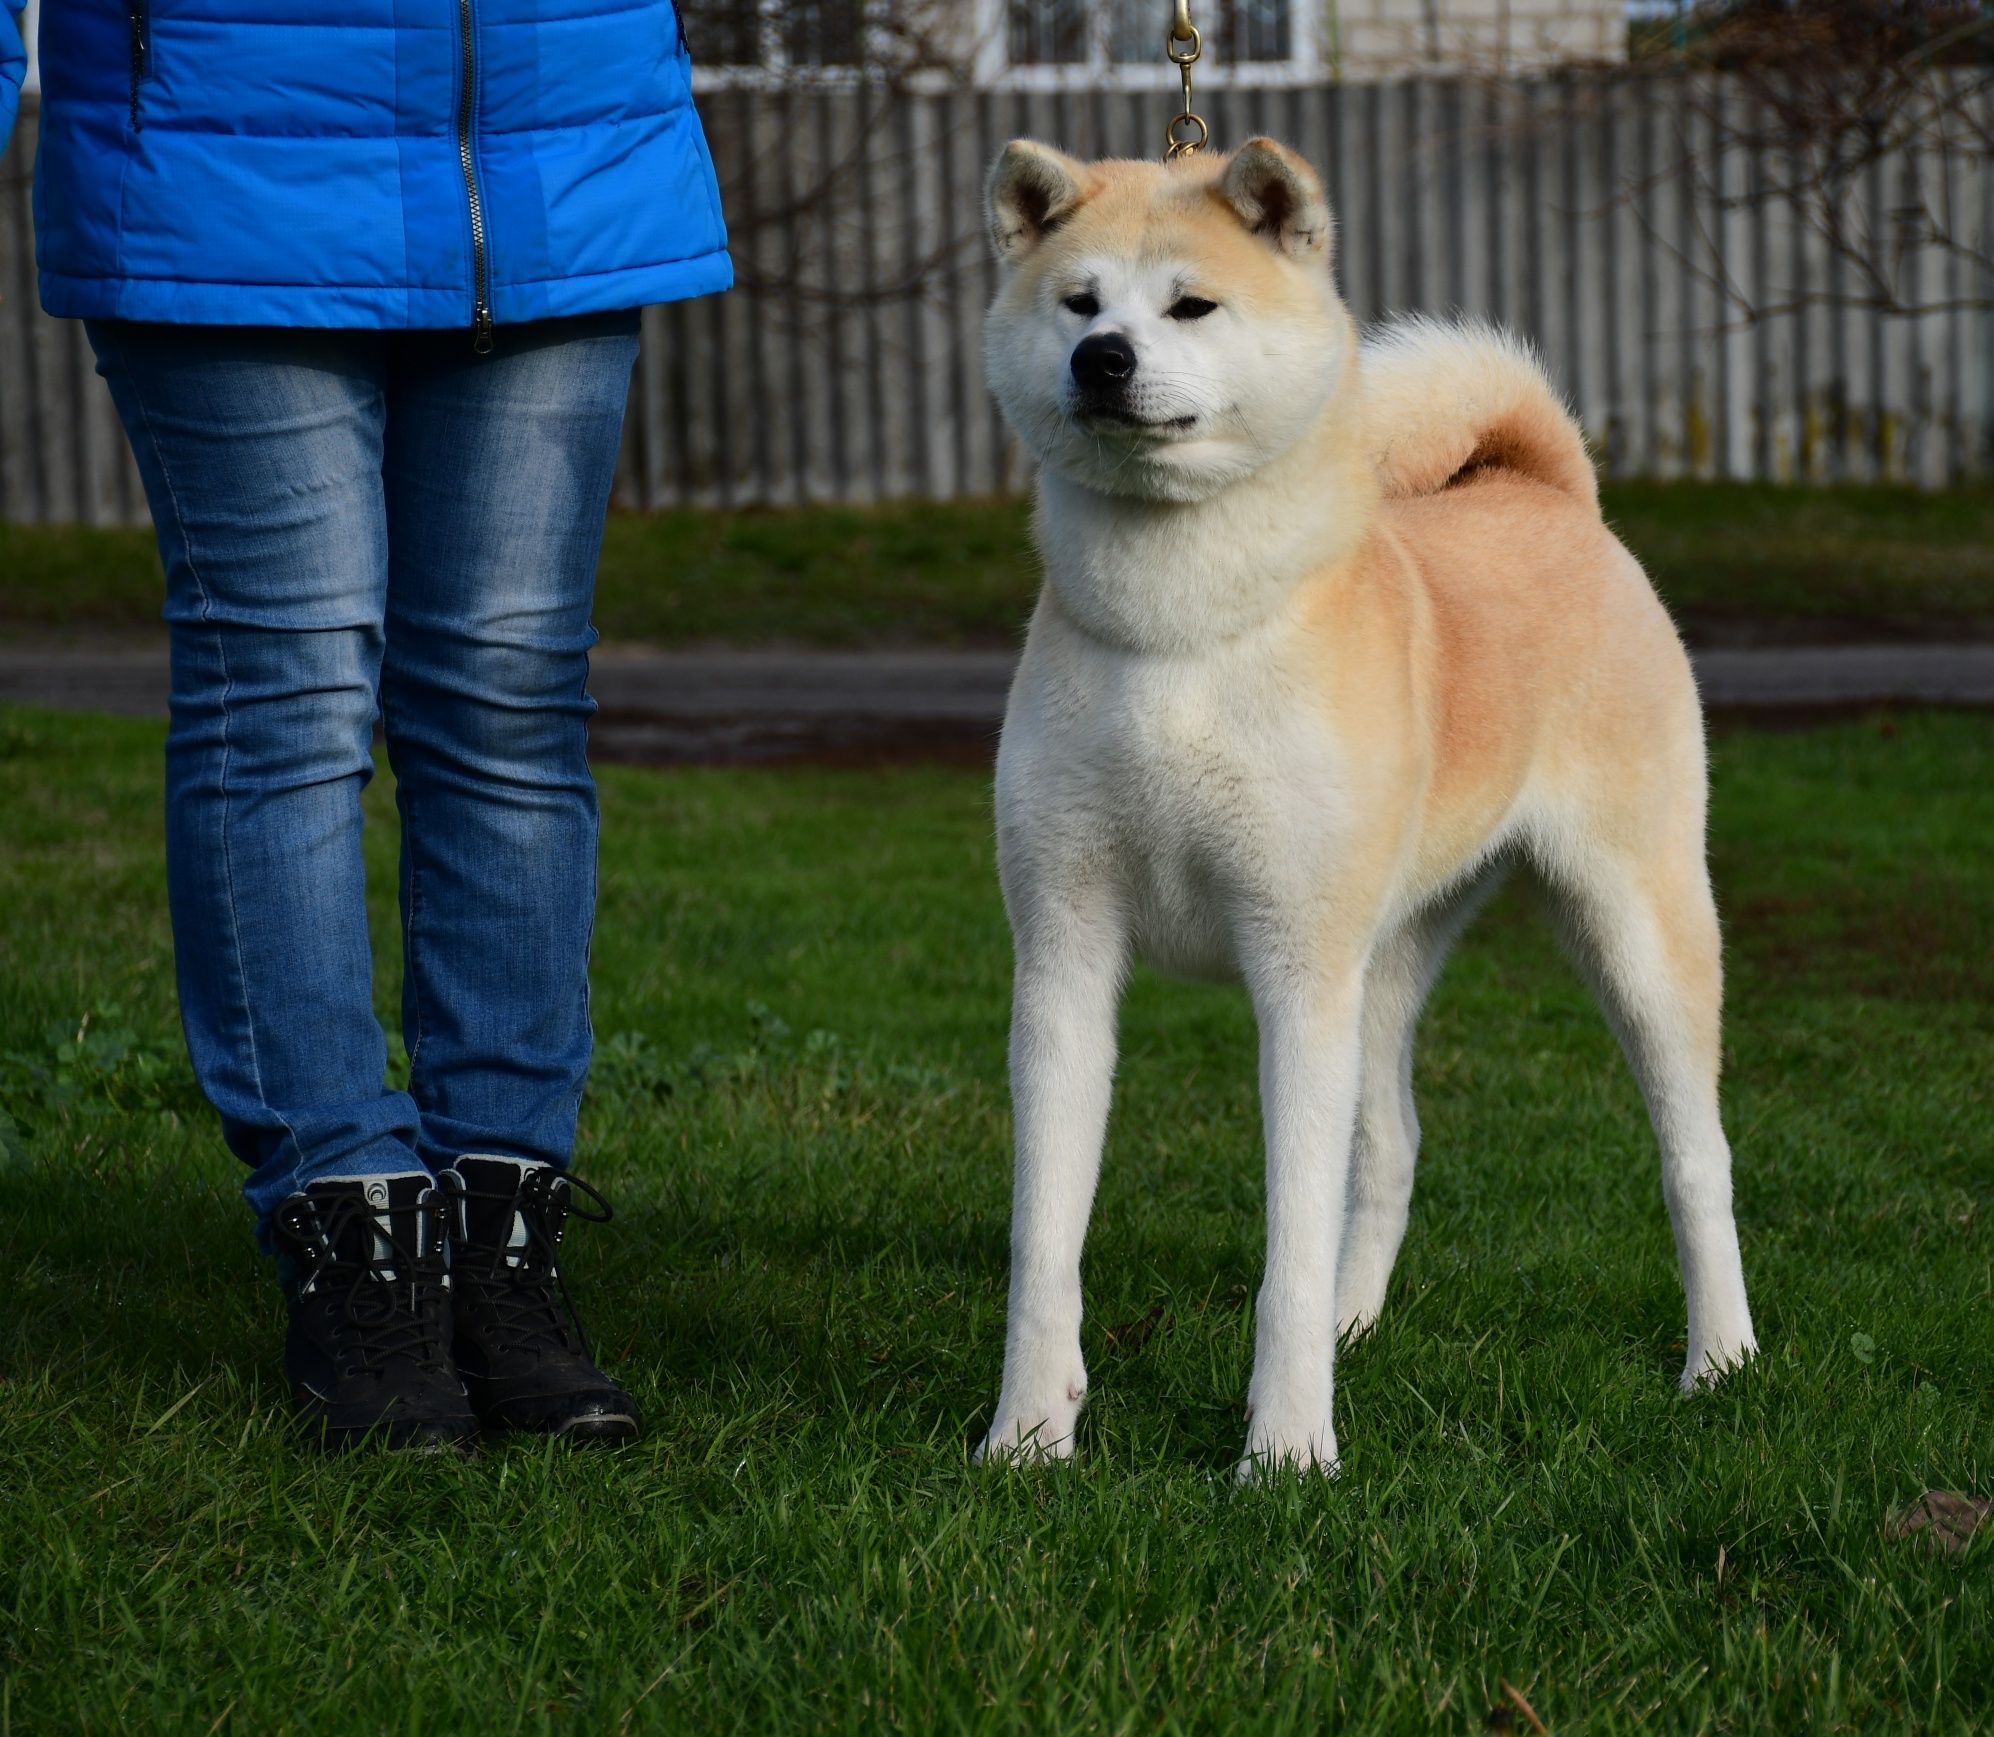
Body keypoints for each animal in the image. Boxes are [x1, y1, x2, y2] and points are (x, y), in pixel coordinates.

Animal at [973, 135, 1754, 1483]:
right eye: (1078, 303)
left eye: (1190, 305)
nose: (1102, 360)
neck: (1179, 632)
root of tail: (1550, 493)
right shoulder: (1064, 957)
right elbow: (1044, 1243)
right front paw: (1027, 1432)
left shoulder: (1294, 973)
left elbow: (1284, 1248)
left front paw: (1284, 1451)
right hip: (1383, 962)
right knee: (1388, 1147)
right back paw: (1356, 1320)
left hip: (1632, 929)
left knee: (1692, 1160)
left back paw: (1719, 1362)